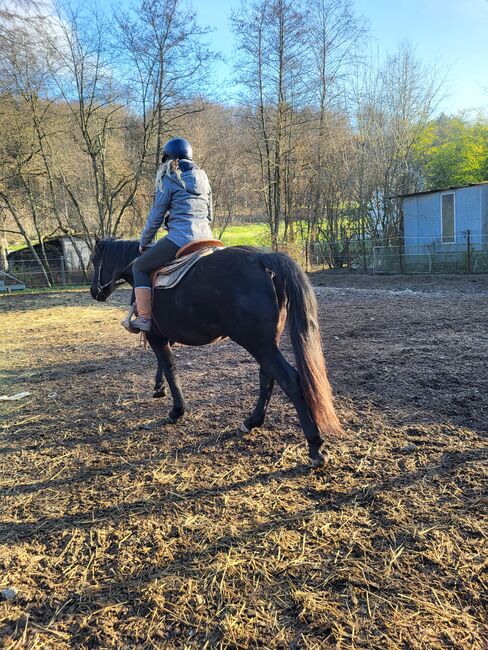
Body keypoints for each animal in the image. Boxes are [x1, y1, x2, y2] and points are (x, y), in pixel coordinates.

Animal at [90, 238, 344, 466]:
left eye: (94, 260)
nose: (94, 292)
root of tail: (262, 259)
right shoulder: (167, 336)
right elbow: (163, 365)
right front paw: (158, 388)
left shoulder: (156, 336)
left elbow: (170, 368)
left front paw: (177, 411)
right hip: (266, 344)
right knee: (267, 377)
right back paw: (252, 421)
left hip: (258, 344)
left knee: (289, 380)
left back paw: (314, 447)